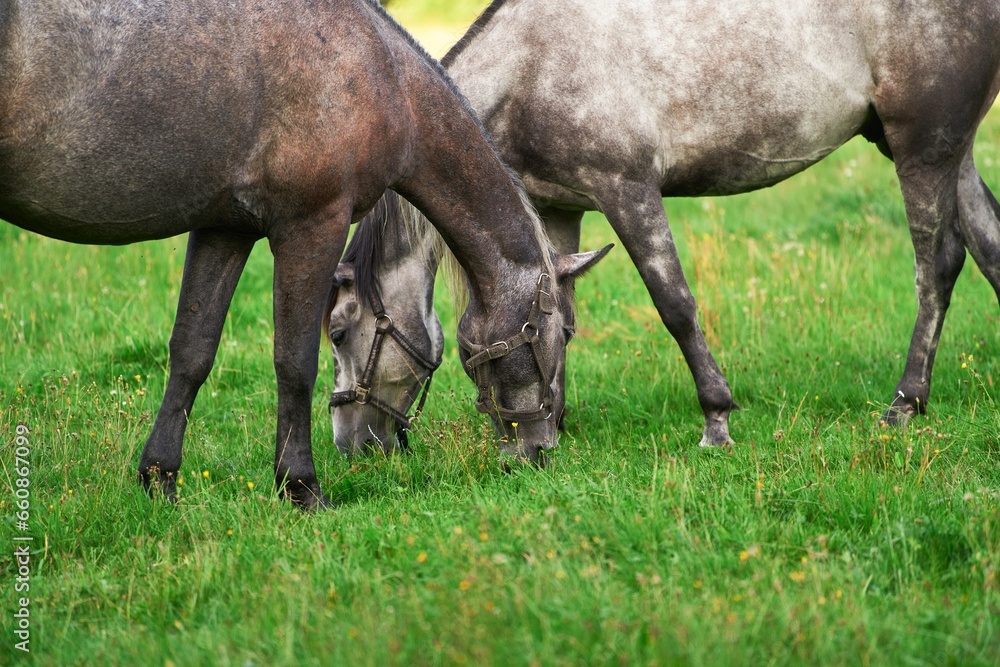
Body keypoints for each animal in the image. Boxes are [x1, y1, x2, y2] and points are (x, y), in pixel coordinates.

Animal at [0, 0, 596, 508]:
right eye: (551, 338)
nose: (539, 450)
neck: (383, 75)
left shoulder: (224, 229)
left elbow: (192, 352)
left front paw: (159, 479)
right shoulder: (311, 227)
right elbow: (294, 363)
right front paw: (300, 486)